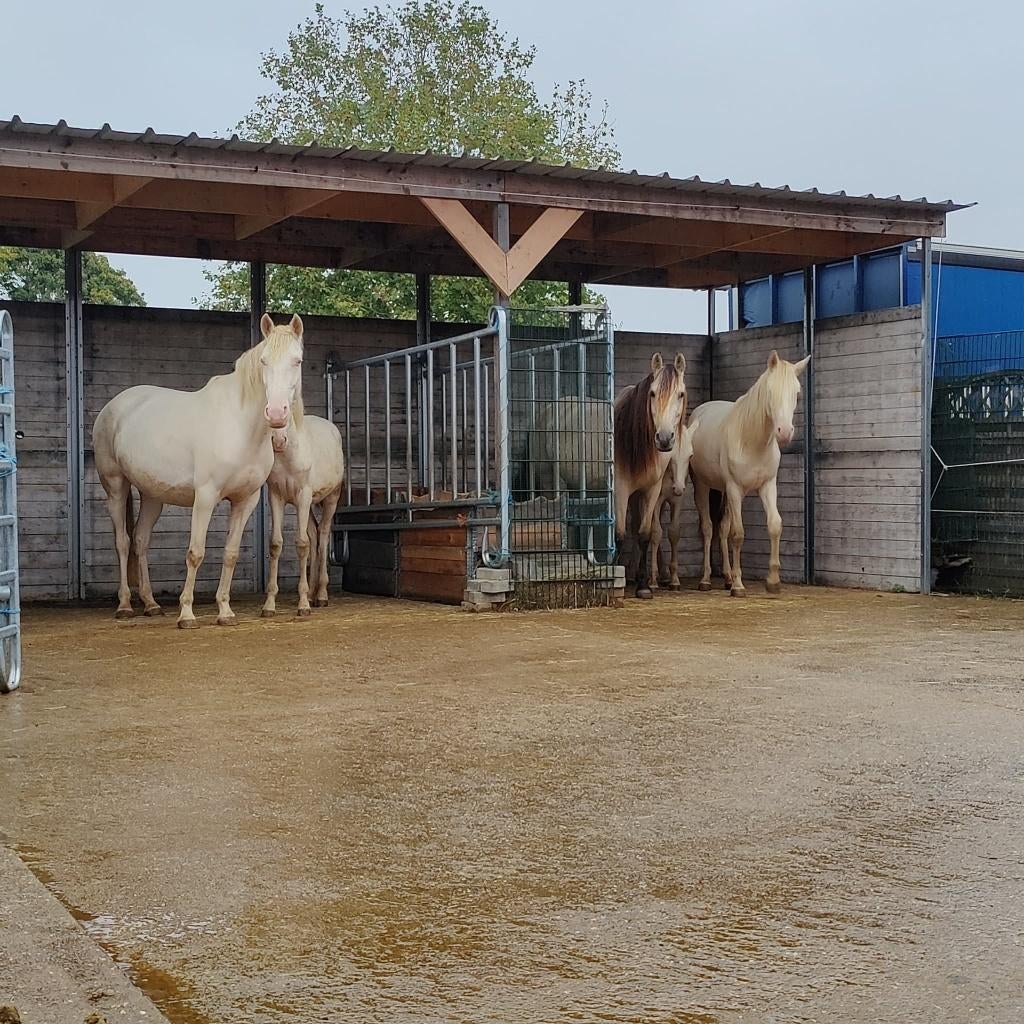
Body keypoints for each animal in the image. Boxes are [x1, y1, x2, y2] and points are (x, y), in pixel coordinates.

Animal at [93, 313, 306, 628]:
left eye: (297, 361)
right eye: (264, 361)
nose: (277, 414)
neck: (240, 425)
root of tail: (114, 406)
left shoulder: (246, 500)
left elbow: (230, 554)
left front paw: (225, 611)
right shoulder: (205, 497)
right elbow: (195, 553)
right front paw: (187, 614)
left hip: (152, 495)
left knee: (141, 541)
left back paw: (151, 604)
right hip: (115, 486)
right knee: (122, 542)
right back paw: (125, 606)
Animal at [261, 414, 346, 618]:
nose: (278, 441)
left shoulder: (304, 495)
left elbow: (301, 544)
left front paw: (303, 605)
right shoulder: (276, 497)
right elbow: (276, 544)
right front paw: (269, 605)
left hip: (331, 498)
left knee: (323, 534)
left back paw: (321, 595)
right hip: (305, 506)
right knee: (314, 534)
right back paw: (312, 593)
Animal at [613, 352, 689, 599]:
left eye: (680, 393)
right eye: (653, 393)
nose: (664, 439)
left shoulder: (651, 491)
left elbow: (645, 533)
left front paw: (644, 585)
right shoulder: (620, 489)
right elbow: (619, 533)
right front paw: (613, 575)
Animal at [688, 349, 809, 597]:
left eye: (797, 393)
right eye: (770, 392)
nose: (784, 432)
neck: (752, 440)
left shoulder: (768, 486)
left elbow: (774, 525)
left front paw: (772, 581)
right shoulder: (735, 489)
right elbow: (738, 533)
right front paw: (738, 585)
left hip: (723, 491)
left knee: (722, 528)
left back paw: (725, 576)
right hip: (703, 487)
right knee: (708, 528)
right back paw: (706, 580)